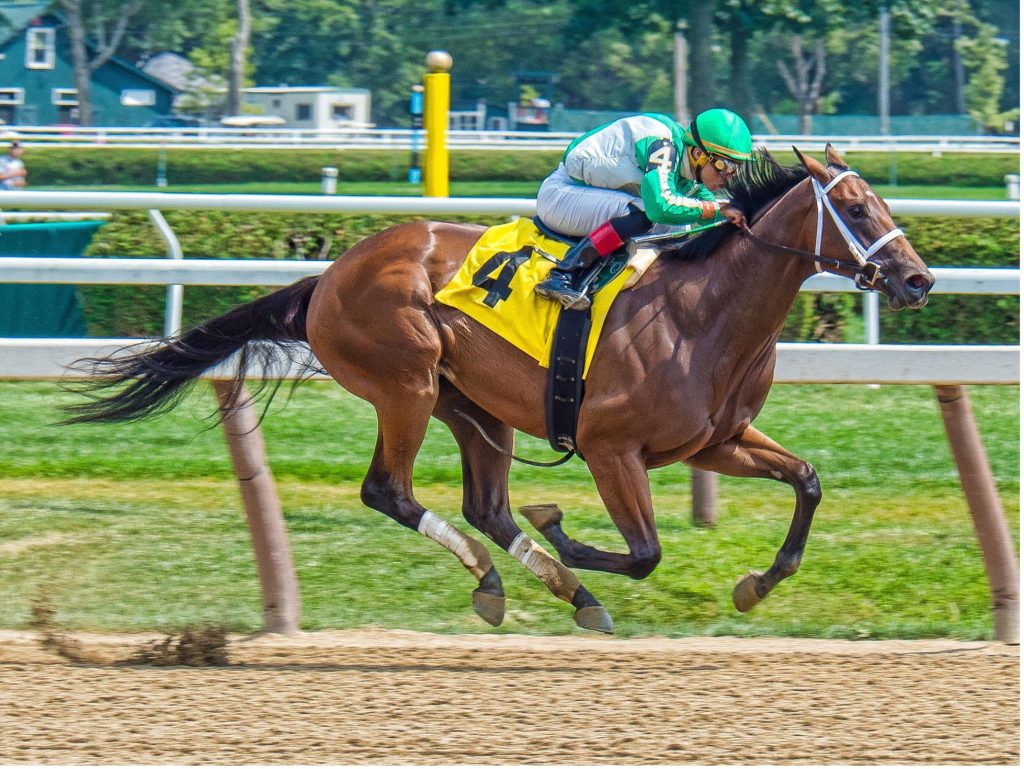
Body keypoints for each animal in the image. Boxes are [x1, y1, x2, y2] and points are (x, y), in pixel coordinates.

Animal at [65, 144, 934, 634]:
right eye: (855, 207)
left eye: (880, 202)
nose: (919, 279)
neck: (703, 310)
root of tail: (328, 277)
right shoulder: (610, 447)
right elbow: (644, 552)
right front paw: (565, 529)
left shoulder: (714, 440)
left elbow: (807, 481)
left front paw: (757, 583)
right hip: (407, 383)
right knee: (389, 490)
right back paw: (514, 576)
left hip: (474, 405)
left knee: (485, 505)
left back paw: (546, 588)